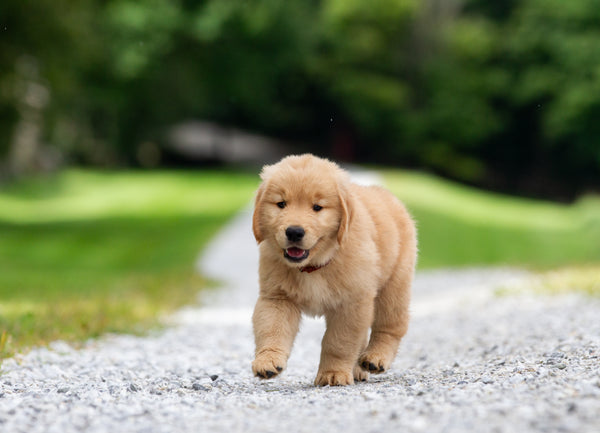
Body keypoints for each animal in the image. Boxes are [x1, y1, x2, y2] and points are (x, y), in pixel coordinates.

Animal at [251, 153, 414, 384]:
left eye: (317, 207)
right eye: (281, 204)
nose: (294, 232)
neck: (314, 266)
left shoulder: (351, 302)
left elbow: (339, 342)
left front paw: (333, 373)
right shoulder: (277, 298)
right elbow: (272, 328)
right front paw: (268, 360)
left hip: (394, 285)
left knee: (390, 326)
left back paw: (375, 358)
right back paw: (357, 369)